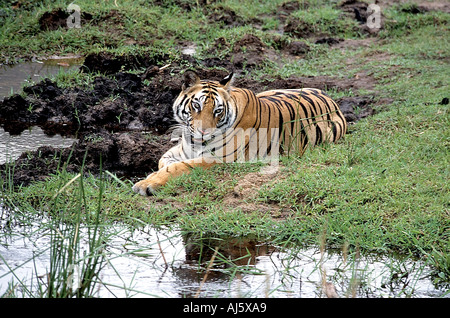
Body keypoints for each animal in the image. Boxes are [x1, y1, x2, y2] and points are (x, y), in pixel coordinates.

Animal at [132, 71, 346, 196]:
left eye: (218, 111)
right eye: (196, 105)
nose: (204, 131)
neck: (194, 141)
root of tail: (331, 99)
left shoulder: (218, 159)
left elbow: (178, 167)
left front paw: (146, 184)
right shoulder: (179, 151)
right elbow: (164, 162)